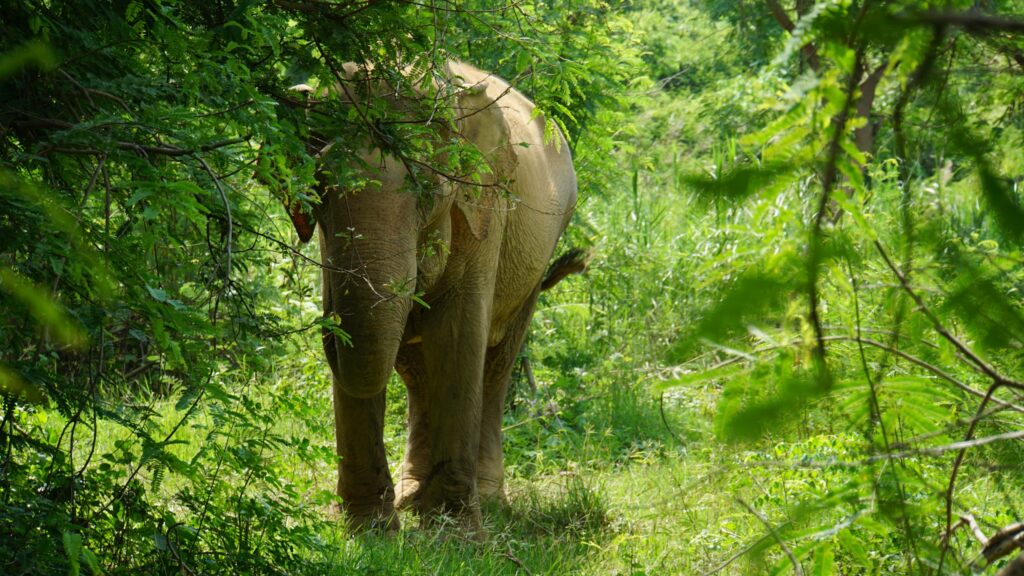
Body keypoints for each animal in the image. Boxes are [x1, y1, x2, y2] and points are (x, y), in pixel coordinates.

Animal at [278, 60, 585, 537]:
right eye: (320, 184)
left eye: (430, 190)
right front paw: (370, 530)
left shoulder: (484, 205)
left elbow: (458, 335)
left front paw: (456, 536)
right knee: (415, 369)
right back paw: (411, 497)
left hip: (540, 256)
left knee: (497, 363)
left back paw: (485, 499)